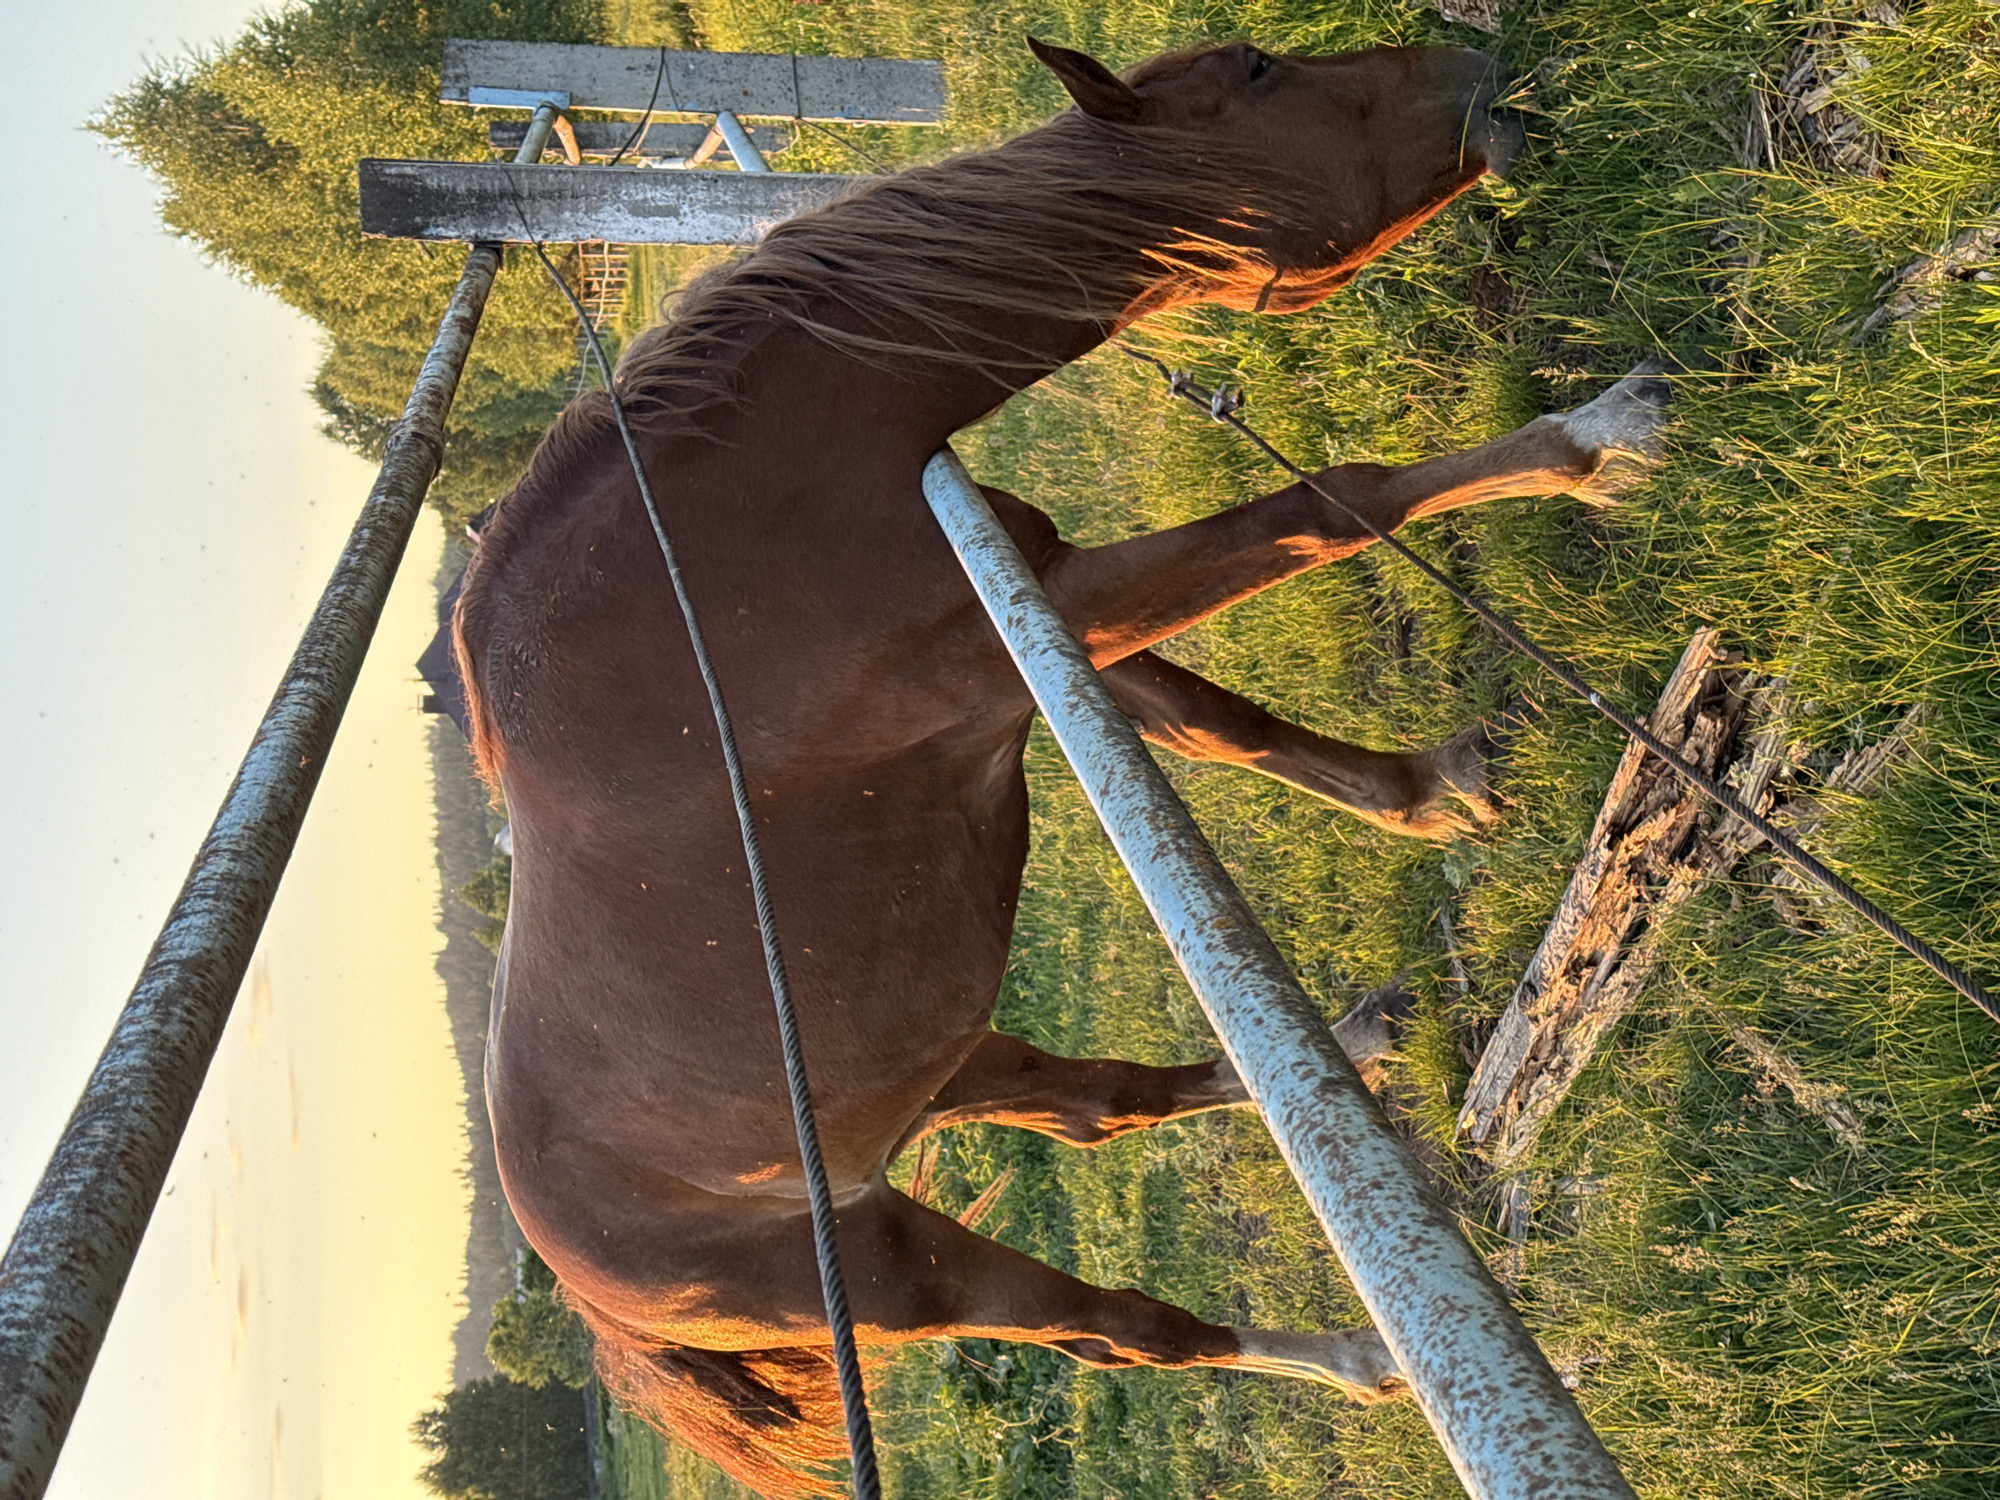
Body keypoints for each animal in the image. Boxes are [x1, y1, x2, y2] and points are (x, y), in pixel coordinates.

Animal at [455, 36, 1667, 1496]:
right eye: (1257, 71)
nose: (1470, 52)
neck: (731, 525)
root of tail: (595, 1297)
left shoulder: (1036, 612)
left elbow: (1226, 728)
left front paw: (1434, 790)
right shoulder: (1046, 619)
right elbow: (1336, 503)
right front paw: (1600, 433)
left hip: (943, 1073)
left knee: (1097, 1107)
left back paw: (1346, 1052)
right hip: (905, 1277)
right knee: (1126, 1335)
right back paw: (1366, 1354)